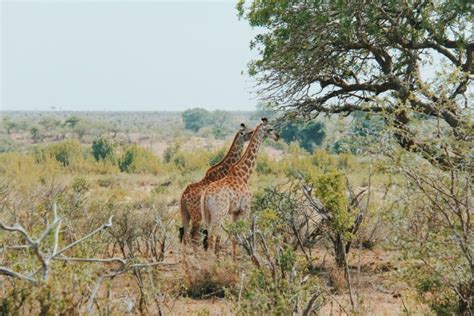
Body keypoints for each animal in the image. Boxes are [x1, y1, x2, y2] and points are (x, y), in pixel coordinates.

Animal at [201, 118, 282, 260]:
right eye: (270, 129)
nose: (278, 136)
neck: (244, 175)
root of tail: (206, 196)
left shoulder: (235, 212)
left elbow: (235, 235)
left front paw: (234, 261)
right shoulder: (245, 208)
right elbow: (243, 233)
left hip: (207, 214)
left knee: (208, 234)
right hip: (219, 213)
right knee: (213, 234)